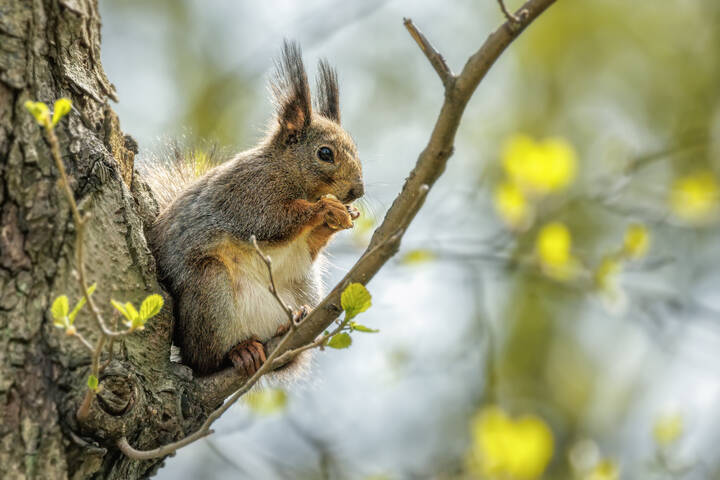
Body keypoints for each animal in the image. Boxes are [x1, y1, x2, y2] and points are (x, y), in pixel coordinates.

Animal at [144, 41, 364, 376]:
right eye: (325, 153)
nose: (358, 191)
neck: (285, 170)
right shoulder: (248, 195)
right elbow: (272, 223)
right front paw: (324, 209)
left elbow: (308, 247)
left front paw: (338, 219)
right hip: (210, 289)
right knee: (208, 359)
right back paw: (240, 351)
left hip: (302, 286)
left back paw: (289, 326)